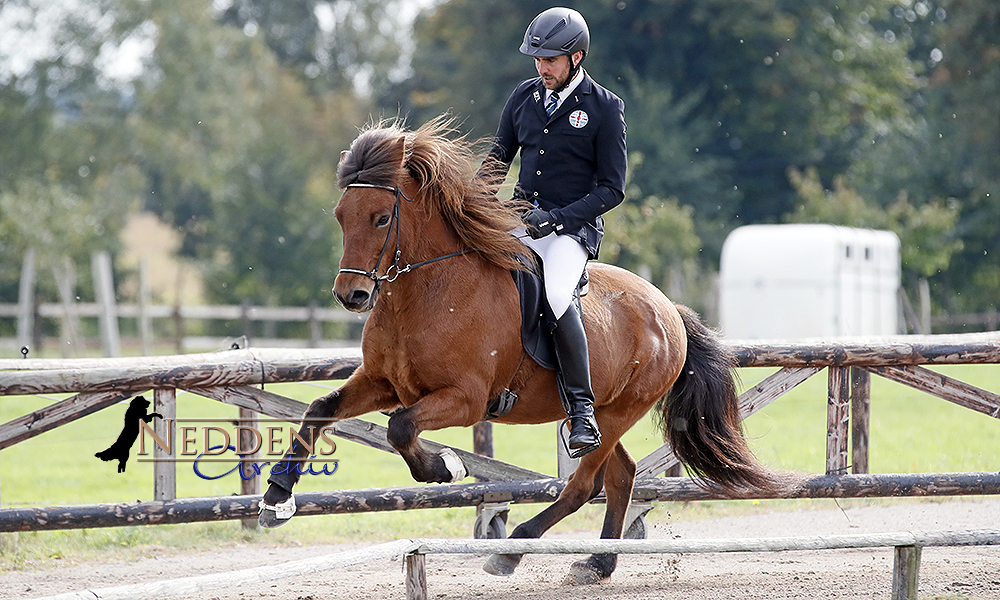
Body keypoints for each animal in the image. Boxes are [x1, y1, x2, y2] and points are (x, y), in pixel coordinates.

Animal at [260, 116, 772, 580]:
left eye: (382, 218)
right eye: (340, 217)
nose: (351, 296)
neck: (427, 292)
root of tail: (669, 309)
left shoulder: (466, 399)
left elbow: (401, 429)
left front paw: (447, 468)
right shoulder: (384, 382)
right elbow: (321, 409)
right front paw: (277, 497)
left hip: (620, 409)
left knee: (584, 484)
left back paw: (513, 551)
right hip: (608, 413)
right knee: (620, 474)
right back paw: (598, 563)